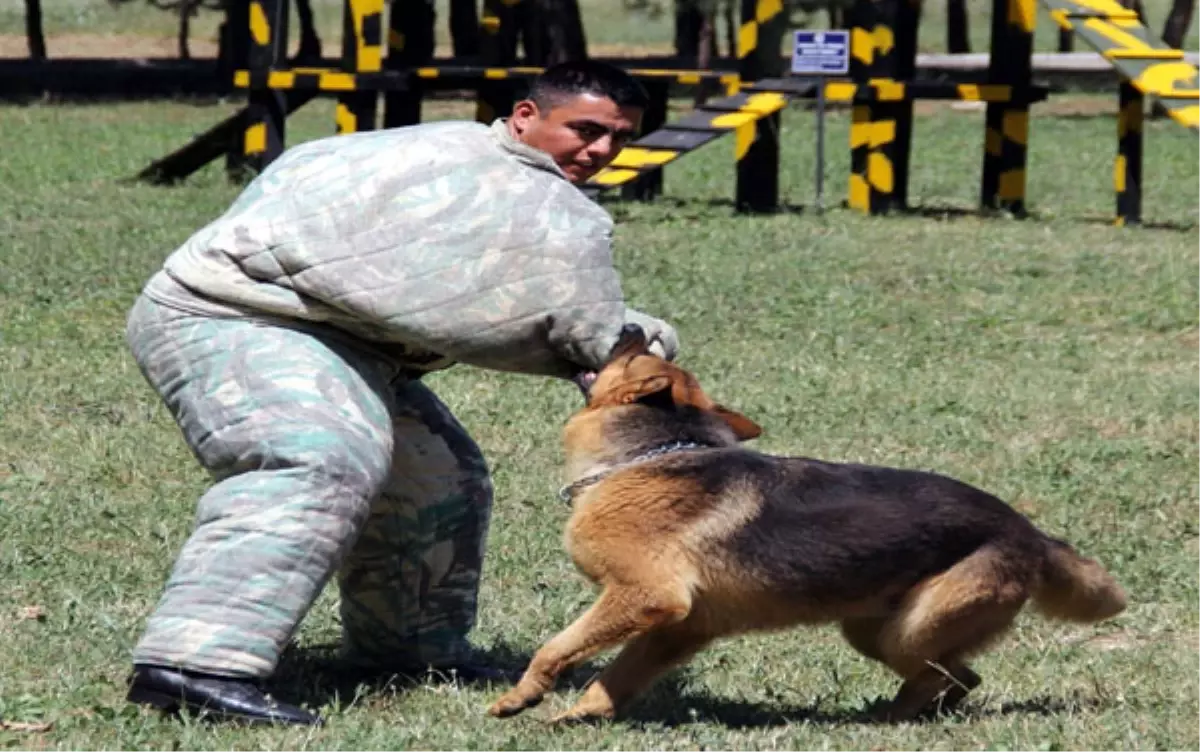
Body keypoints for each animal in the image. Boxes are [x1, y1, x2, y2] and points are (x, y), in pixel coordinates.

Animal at [484, 323, 1123, 724]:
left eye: (636, 357)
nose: (632, 328)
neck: (656, 453)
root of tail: (1031, 535)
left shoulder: (645, 597)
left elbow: (557, 647)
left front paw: (522, 698)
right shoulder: (678, 629)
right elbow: (616, 677)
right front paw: (582, 714)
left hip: (909, 630)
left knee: (947, 674)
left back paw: (889, 721)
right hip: (873, 630)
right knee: (962, 677)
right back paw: (908, 715)